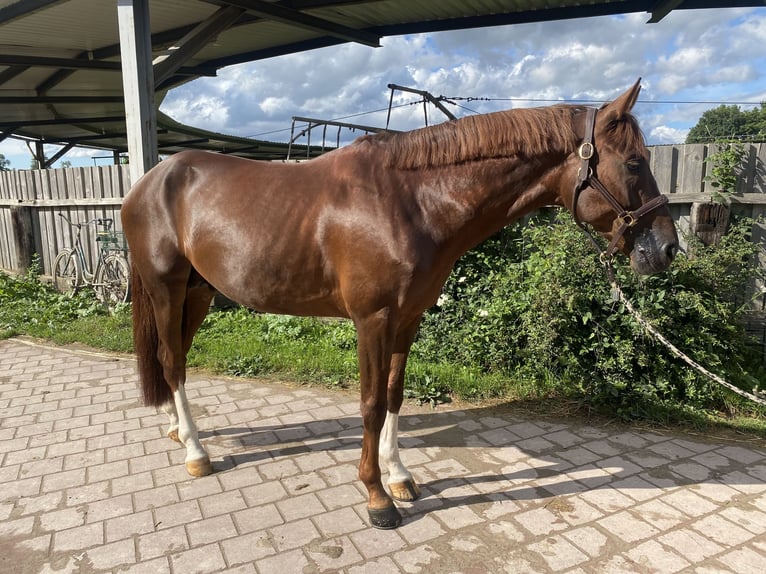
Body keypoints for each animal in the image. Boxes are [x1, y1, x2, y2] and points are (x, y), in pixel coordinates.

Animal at [123, 81, 680, 532]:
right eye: (634, 162)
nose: (668, 249)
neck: (410, 200)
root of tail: (150, 180)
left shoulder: (408, 319)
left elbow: (394, 395)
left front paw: (399, 477)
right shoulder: (372, 320)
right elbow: (370, 404)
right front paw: (376, 498)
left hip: (198, 292)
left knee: (178, 358)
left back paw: (177, 430)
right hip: (166, 288)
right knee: (171, 360)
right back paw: (196, 452)